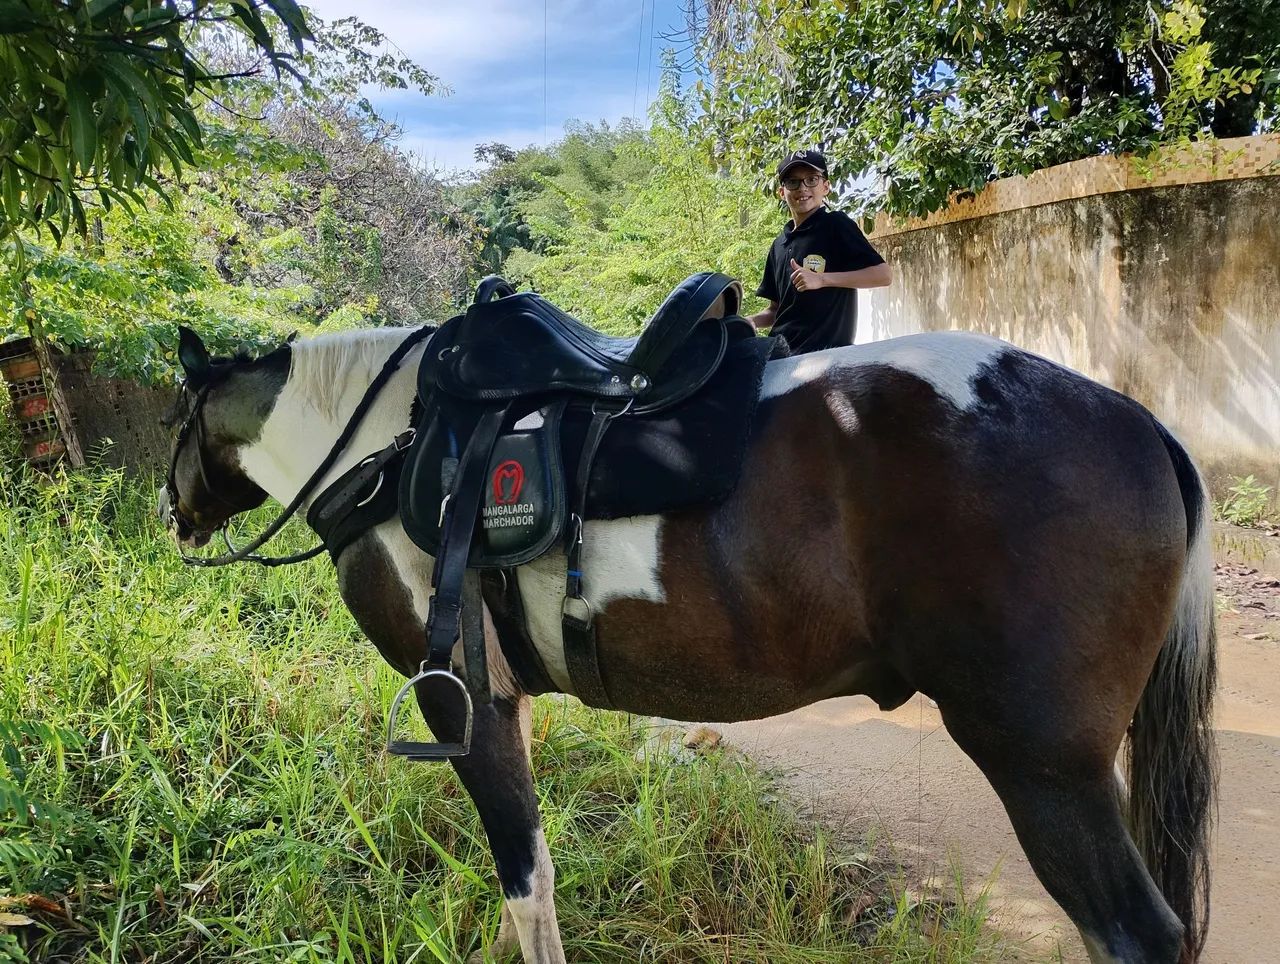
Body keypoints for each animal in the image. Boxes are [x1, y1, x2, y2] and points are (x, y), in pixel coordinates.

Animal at [159, 317, 1217, 964]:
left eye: (173, 417)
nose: (173, 515)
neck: (391, 442)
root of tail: (1146, 427)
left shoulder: (460, 702)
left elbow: (526, 876)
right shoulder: (504, 702)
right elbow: (521, 868)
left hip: (1044, 770)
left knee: (1134, 935)